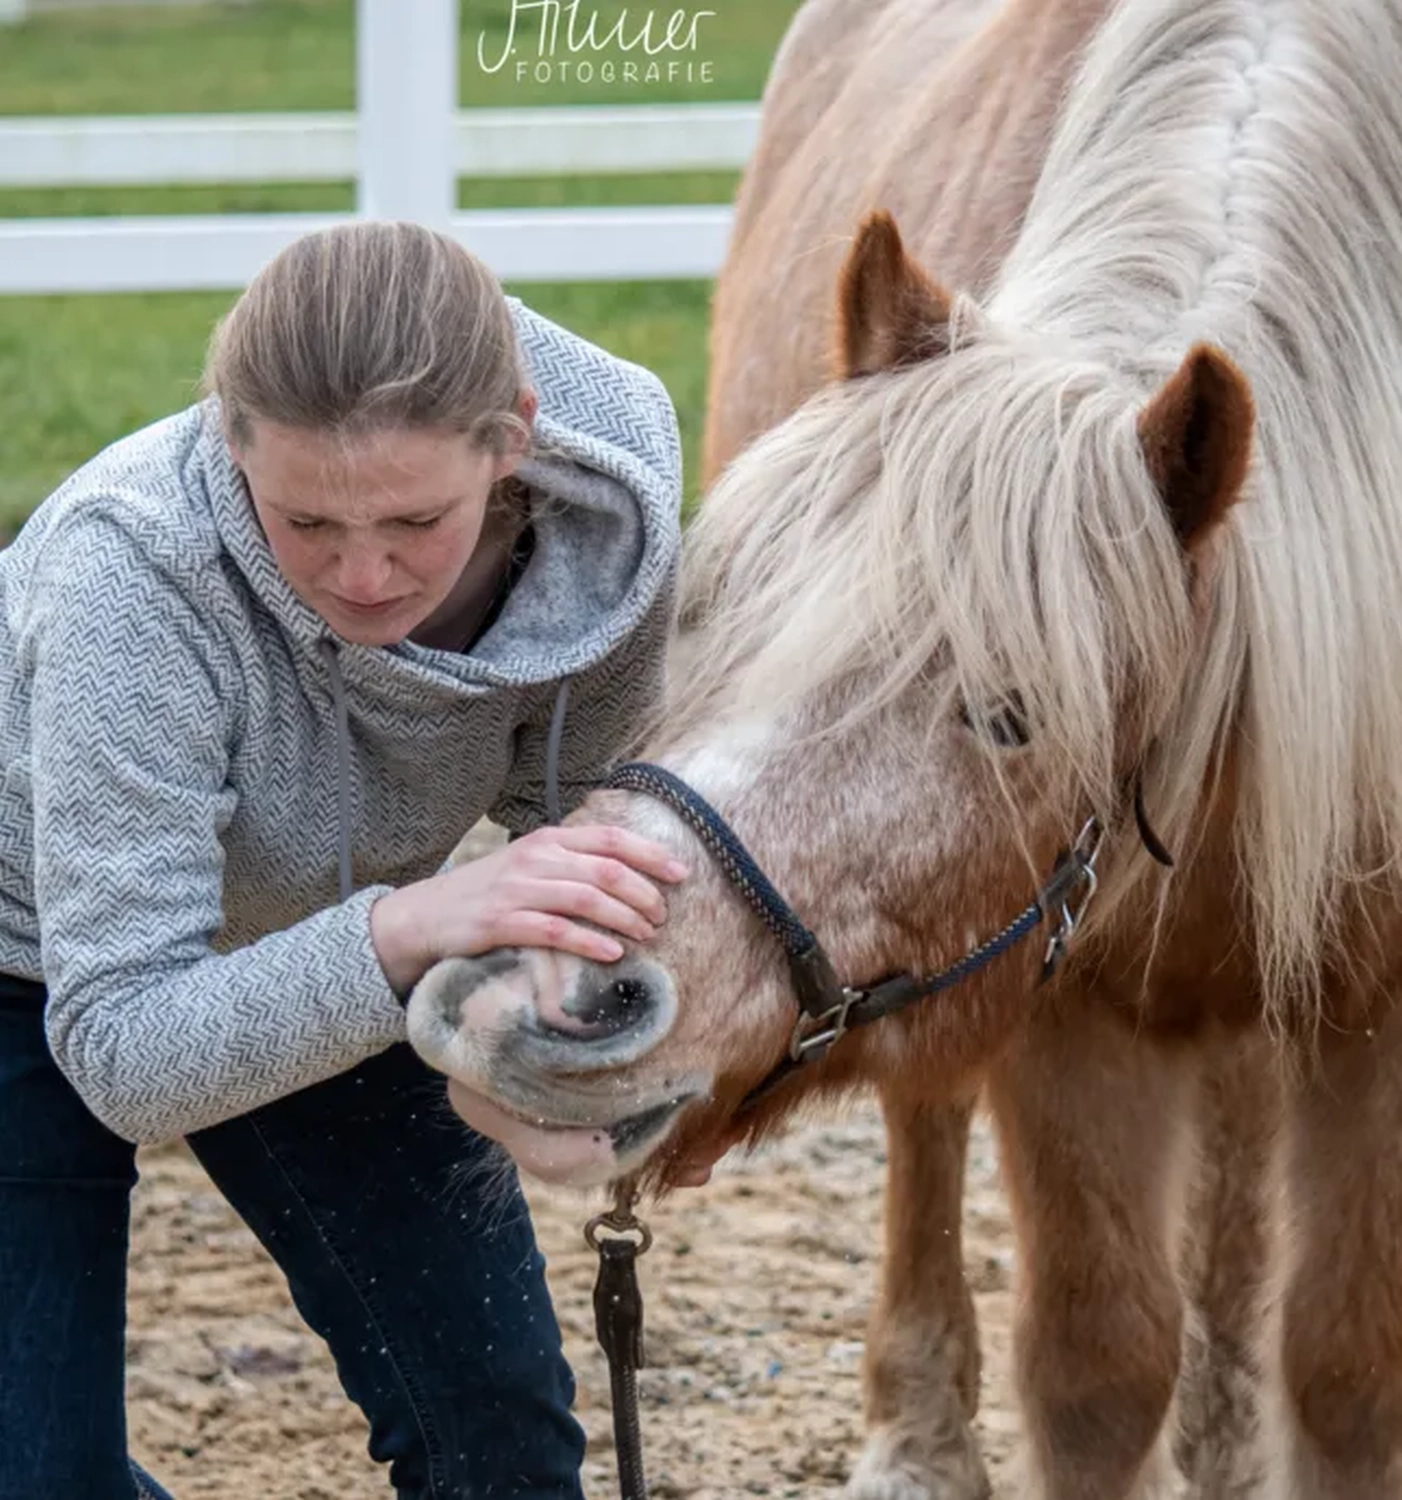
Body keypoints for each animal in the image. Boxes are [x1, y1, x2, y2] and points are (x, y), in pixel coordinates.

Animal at [404, 0, 1402, 1494]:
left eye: (1010, 712)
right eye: (707, 612)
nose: (539, 991)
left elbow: (1343, 1375)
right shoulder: (1062, 1005)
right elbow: (1098, 1366)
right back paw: (922, 1436)